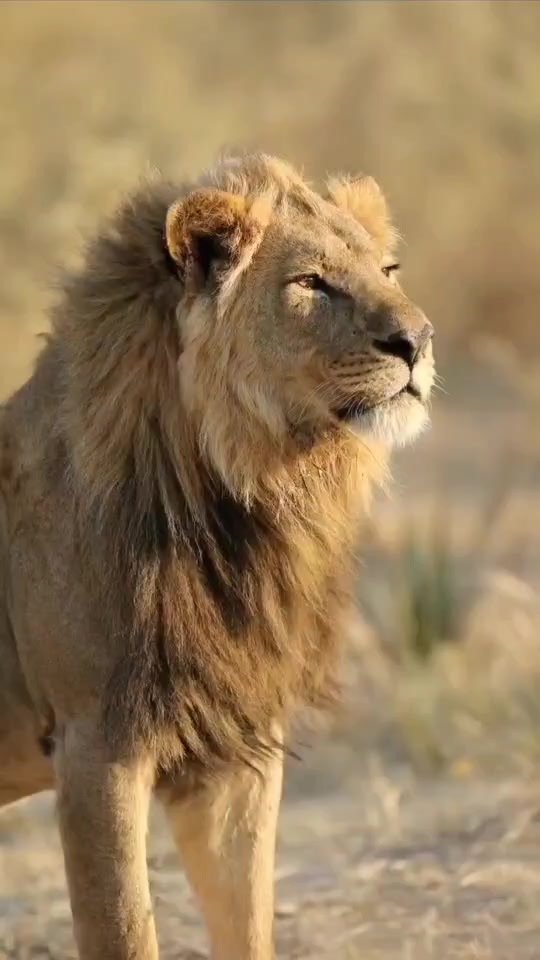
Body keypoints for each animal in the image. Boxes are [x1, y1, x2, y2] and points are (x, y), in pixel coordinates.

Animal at [0, 152, 434, 959]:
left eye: (389, 269)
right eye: (311, 282)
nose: (419, 341)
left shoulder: (232, 754)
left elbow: (248, 926)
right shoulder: (95, 745)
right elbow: (124, 932)